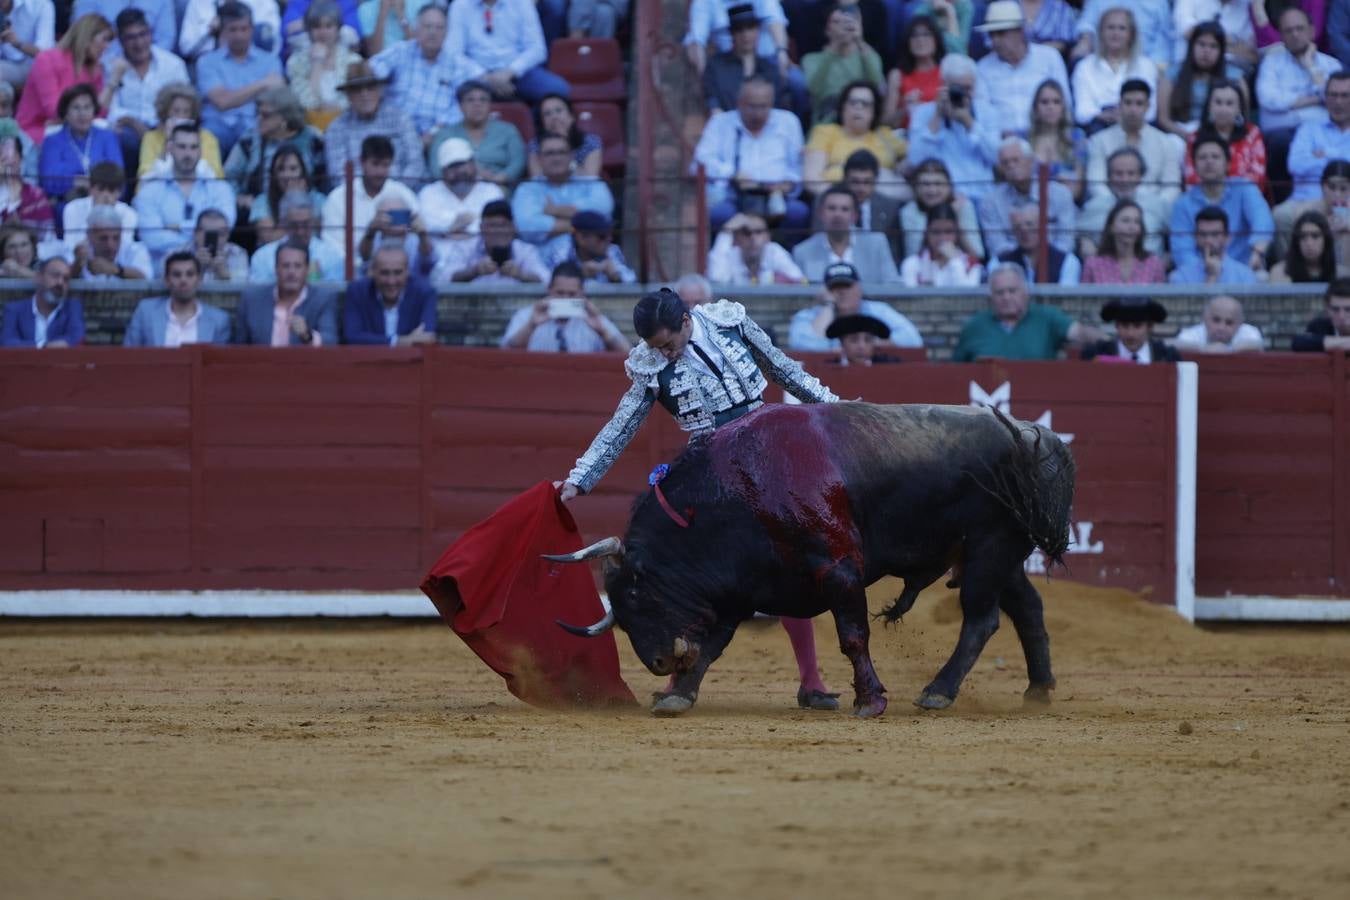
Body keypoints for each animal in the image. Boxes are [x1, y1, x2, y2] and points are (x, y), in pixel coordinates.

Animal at [548, 402, 1074, 717]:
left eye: (636, 594)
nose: (658, 664)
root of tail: (1035, 435)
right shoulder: (739, 589)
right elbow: (714, 645)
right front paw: (677, 695)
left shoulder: (838, 569)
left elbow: (853, 636)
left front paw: (870, 700)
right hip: (999, 554)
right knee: (1027, 608)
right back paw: (1037, 691)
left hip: (988, 547)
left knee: (981, 620)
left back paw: (938, 691)